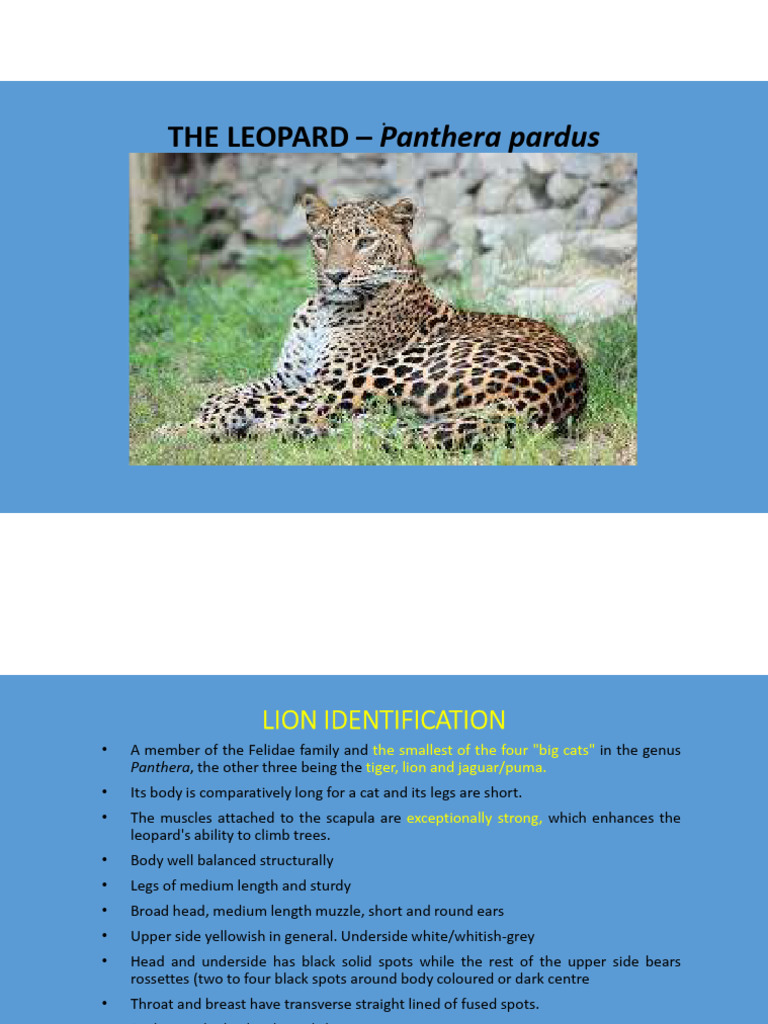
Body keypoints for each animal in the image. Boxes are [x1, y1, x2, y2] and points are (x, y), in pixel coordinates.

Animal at [167, 193, 587, 449]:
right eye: (322, 241)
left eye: (365, 242)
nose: (335, 275)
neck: (322, 309)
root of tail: (551, 399)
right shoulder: (288, 374)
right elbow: (236, 390)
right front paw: (218, 405)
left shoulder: (324, 378)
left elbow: (248, 398)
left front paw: (205, 417)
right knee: (353, 422)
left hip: (384, 373)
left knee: (313, 410)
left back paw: (191, 430)